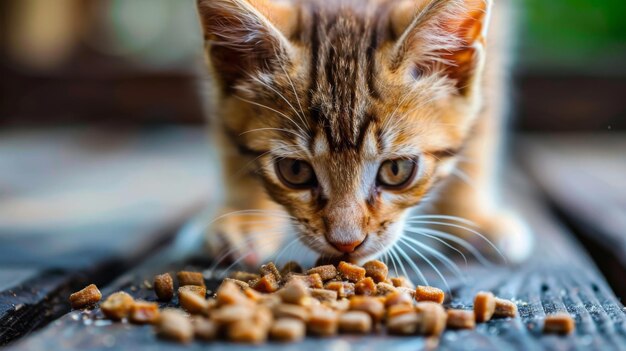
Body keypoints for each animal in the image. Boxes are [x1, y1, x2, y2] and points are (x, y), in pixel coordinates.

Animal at [195, 0, 532, 266]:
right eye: (294, 170)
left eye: (397, 170)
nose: (346, 243)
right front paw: (246, 216)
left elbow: (484, 121)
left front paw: (471, 216)